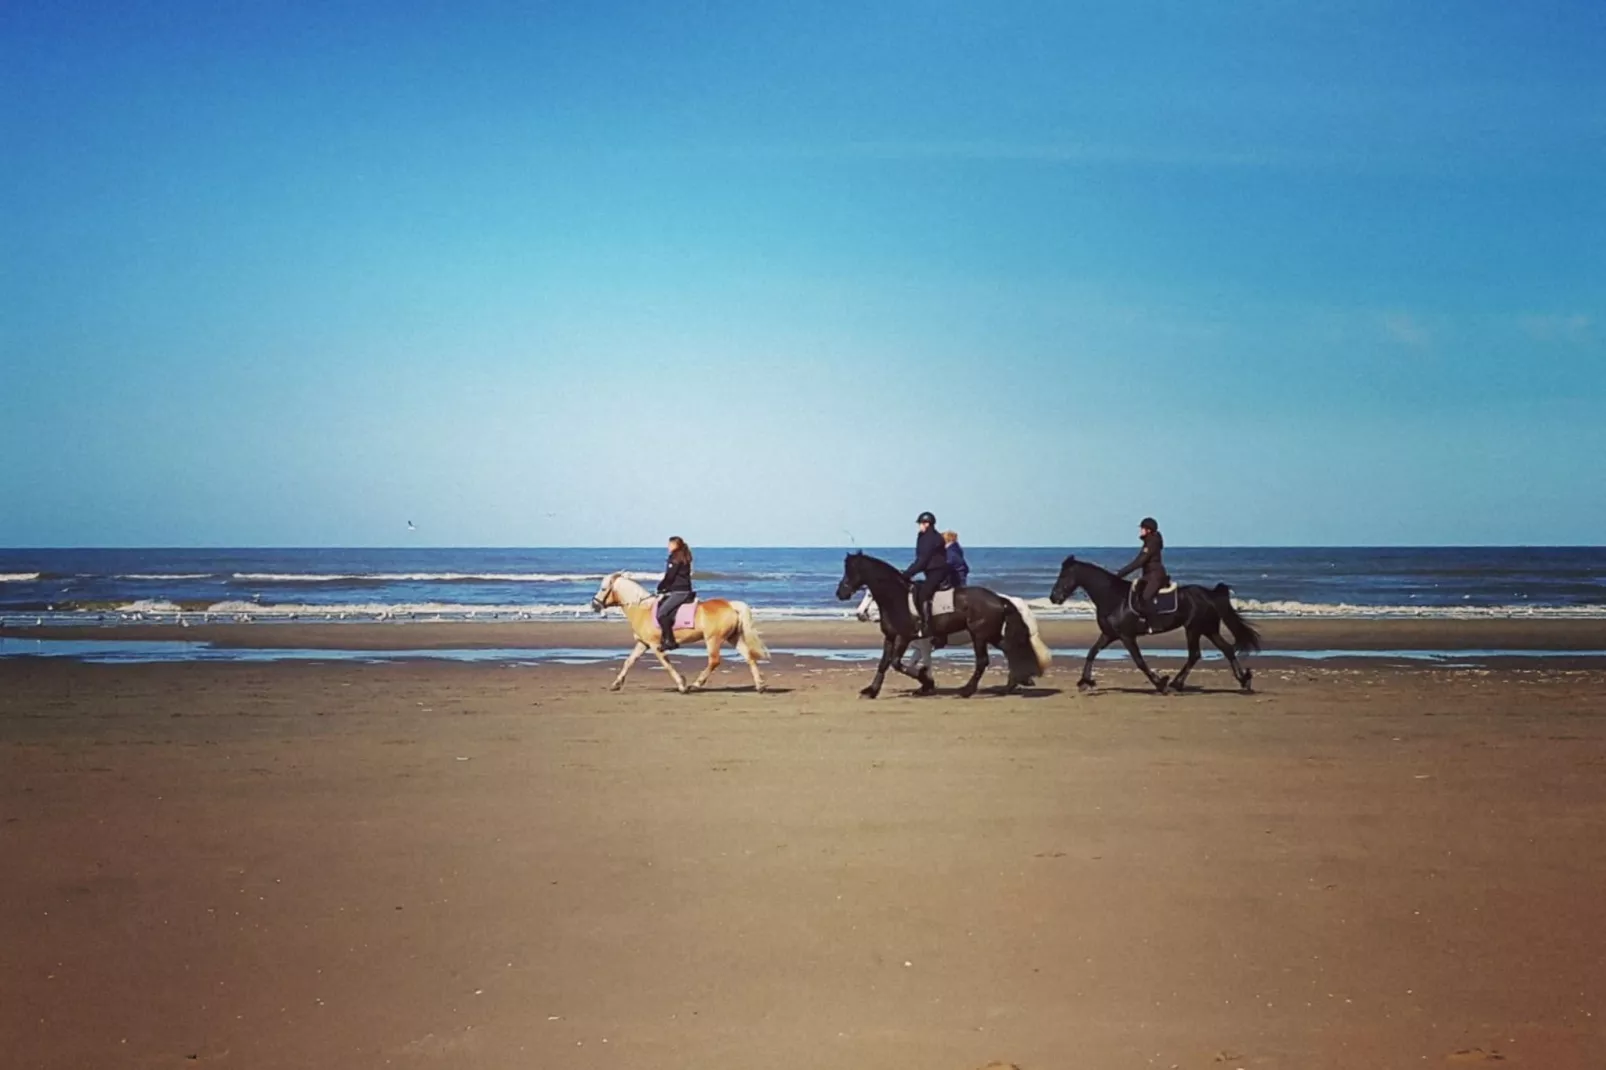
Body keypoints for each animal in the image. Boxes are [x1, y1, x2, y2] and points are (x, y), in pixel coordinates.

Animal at [591, 565, 770, 690]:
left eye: (603, 588)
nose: (594, 605)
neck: (643, 609)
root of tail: (731, 605)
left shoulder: (655, 645)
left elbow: (667, 664)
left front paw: (682, 685)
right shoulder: (643, 644)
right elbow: (629, 661)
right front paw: (616, 684)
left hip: (713, 639)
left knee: (714, 661)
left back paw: (696, 684)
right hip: (733, 637)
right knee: (749, 657)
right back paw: (760, 685)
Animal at [835, 552, 1047, 697]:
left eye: (851, 571)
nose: (840, 593)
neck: (896, 599)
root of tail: (999, 599)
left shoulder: (907, 637)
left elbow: (898, 663)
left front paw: (926, 682)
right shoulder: (892, 637)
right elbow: (885, 664)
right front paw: (872, 690)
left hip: (979, 635)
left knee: (983, 661)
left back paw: (967, 690)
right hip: (991, 634)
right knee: (1009, 650)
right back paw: (1012, 684)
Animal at [1047, 552, 1259, 697]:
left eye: (1063, 576)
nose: (1053, 598)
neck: (1113, 598)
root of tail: (1208, 594)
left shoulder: (1127, 636)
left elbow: (1139, 662)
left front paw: (1160, 683)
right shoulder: (1109, 635)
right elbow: (1091, 653)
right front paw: (1084, 681)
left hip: (1194, 629)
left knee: (1195, 654)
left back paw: (1175, 684)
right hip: (1208, 629)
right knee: (1226, 649)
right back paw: (1244, 681)